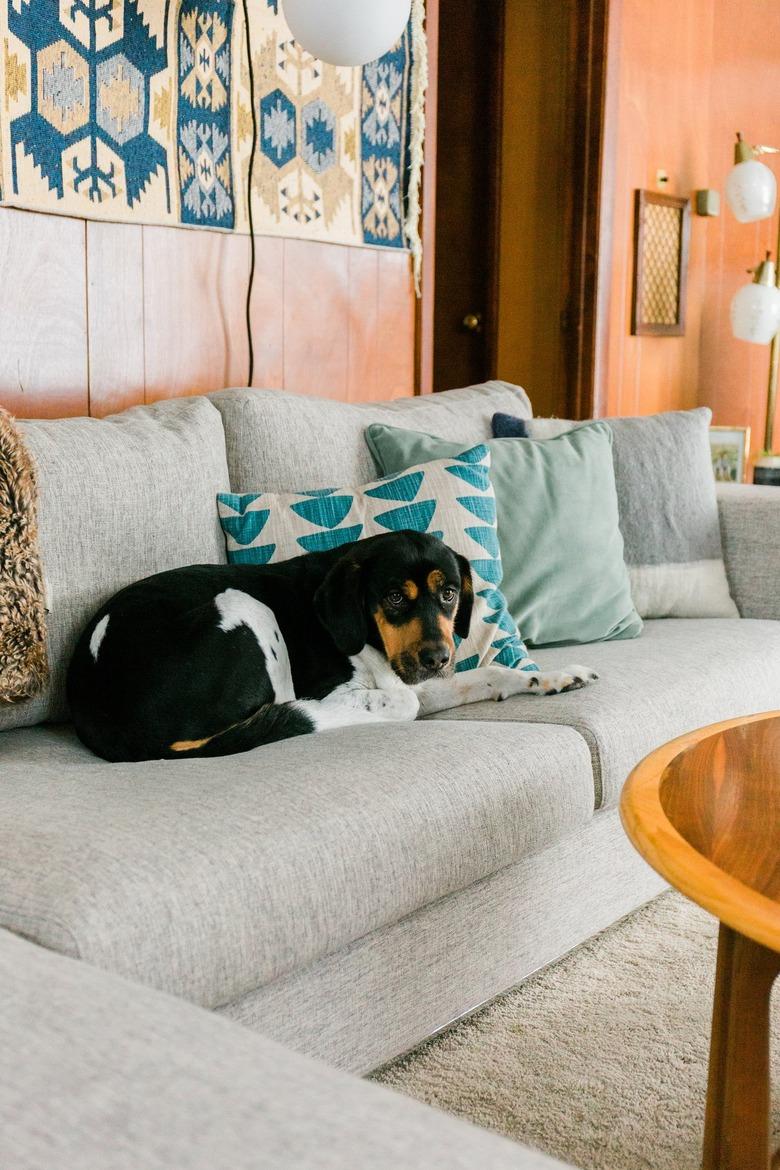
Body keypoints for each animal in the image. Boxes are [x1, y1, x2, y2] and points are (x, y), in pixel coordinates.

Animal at [68, 533, 598, 767]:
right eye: (394, 597)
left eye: (449, 593)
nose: (437, 659)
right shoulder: (373, 687)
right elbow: (398, 700)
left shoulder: (423, 681)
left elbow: (493, 674)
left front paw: (551, 677)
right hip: (246, 604)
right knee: (294, 710)